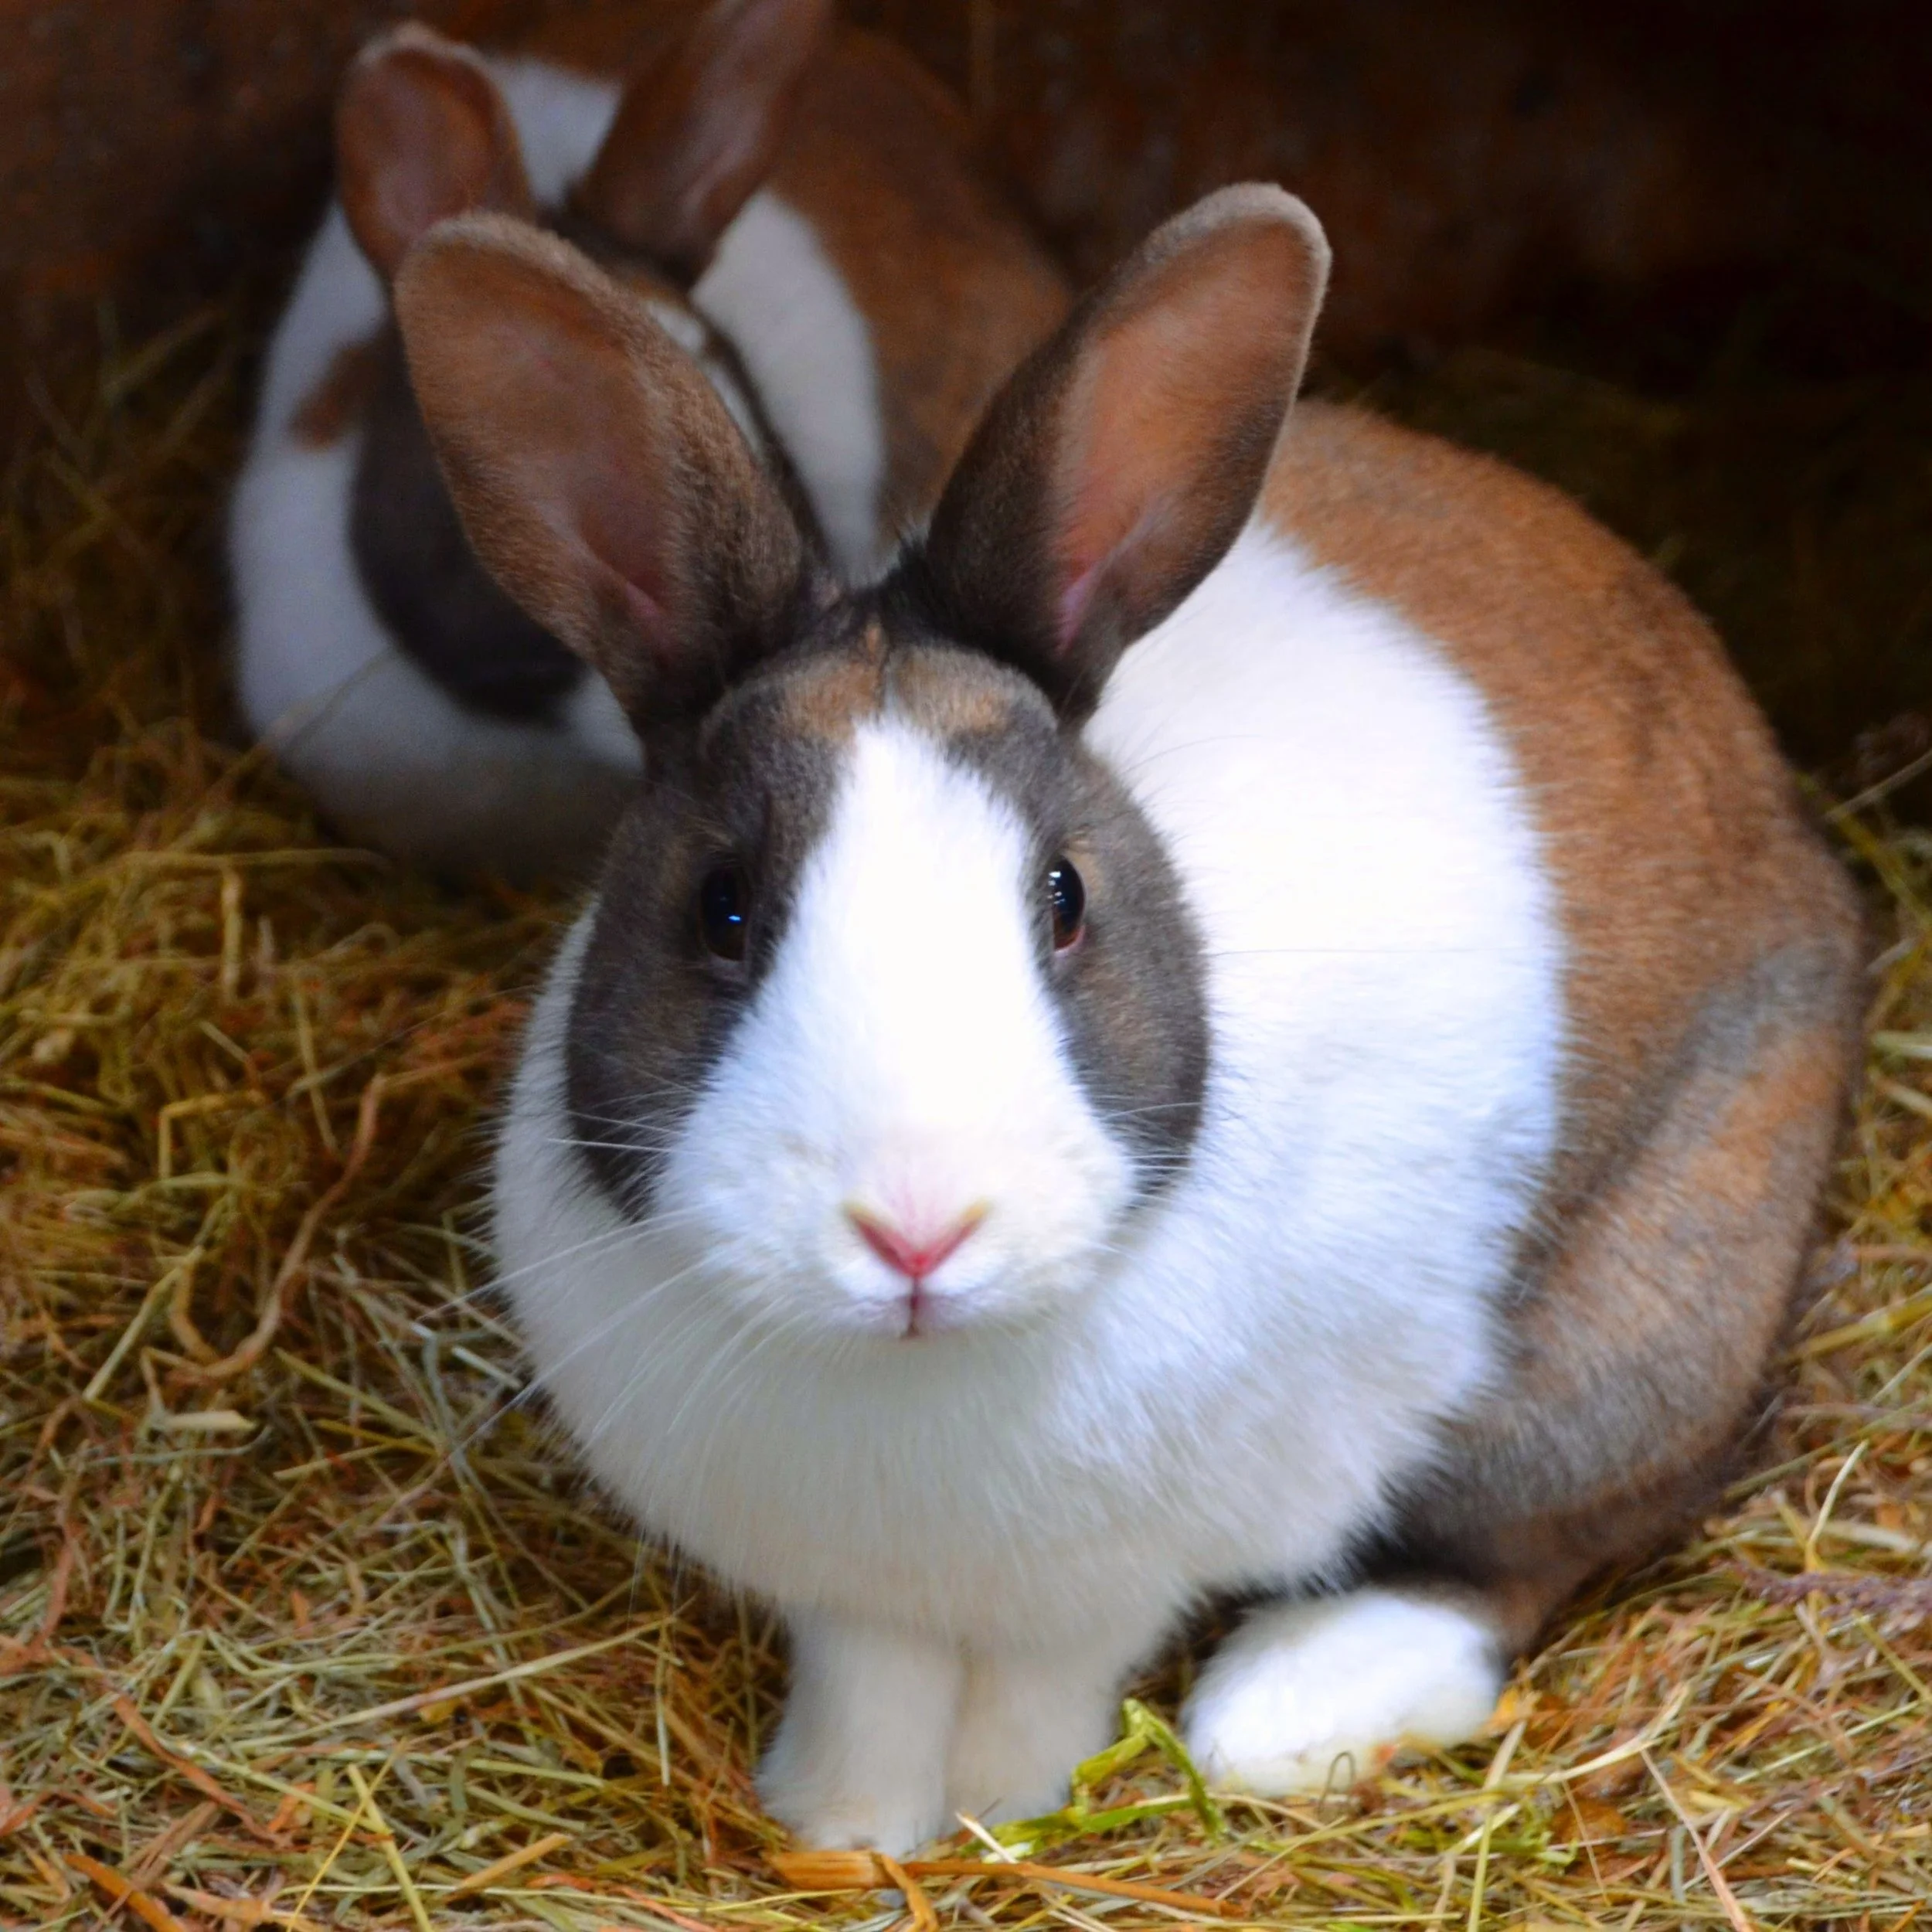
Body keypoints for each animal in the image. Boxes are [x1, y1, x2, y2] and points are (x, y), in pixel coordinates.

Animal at [391, 184, 1863, 1852]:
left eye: (1063, 898)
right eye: (721, 907)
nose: (915, 1230)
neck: (919, 1370)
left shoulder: (1108, 1588)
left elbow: (1053, 1679)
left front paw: (1003, 1808)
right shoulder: (854, 1604)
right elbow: (872, 1680)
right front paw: (843, 1826)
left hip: (1637, 1333)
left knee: (1518, 1553)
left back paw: (1281, 1710)